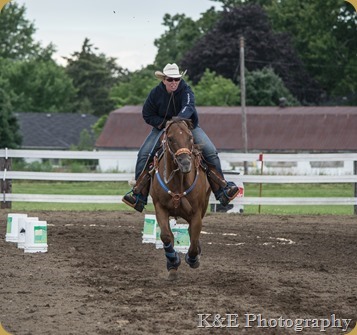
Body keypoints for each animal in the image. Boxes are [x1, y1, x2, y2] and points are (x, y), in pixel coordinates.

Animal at [149, 117, 210, 280]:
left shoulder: (196, 213)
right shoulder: (160, 208)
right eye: (170, 138)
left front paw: (193, 259)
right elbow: (166, 236)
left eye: (190, 137)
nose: (185, 163)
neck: (179, 181)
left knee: (192, 233)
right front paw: (173, 262)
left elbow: (194, 240)